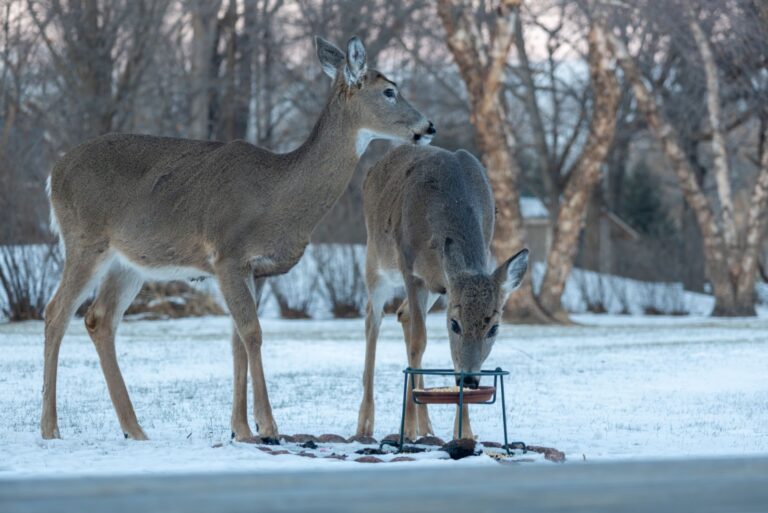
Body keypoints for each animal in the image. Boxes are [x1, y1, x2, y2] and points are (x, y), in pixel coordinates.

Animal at [41, 35, 435, 442]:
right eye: (389, 91)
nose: (429, 126)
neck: (277, 194)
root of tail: (54, 174)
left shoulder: (254, 269)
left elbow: (237, 342)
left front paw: (242, 429)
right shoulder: (227, 254)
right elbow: (252, 332)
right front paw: (268, 424)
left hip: (128, 262)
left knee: (99, 319)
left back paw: (134, 429)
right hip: (85, 240)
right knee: (56, 312)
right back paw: (51, 427)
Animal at [355, 145, 528, 442]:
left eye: (494, 328)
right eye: (455, 324)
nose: (470, 380)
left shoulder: (445, 282)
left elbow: (449, 354)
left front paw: (464, 432)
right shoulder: (410, 270)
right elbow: (419, 341)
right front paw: (407, 429)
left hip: (435, 287)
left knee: (401, 313)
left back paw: (427, 426)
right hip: (376, 259)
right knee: (372, 319)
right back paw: (366, 423)